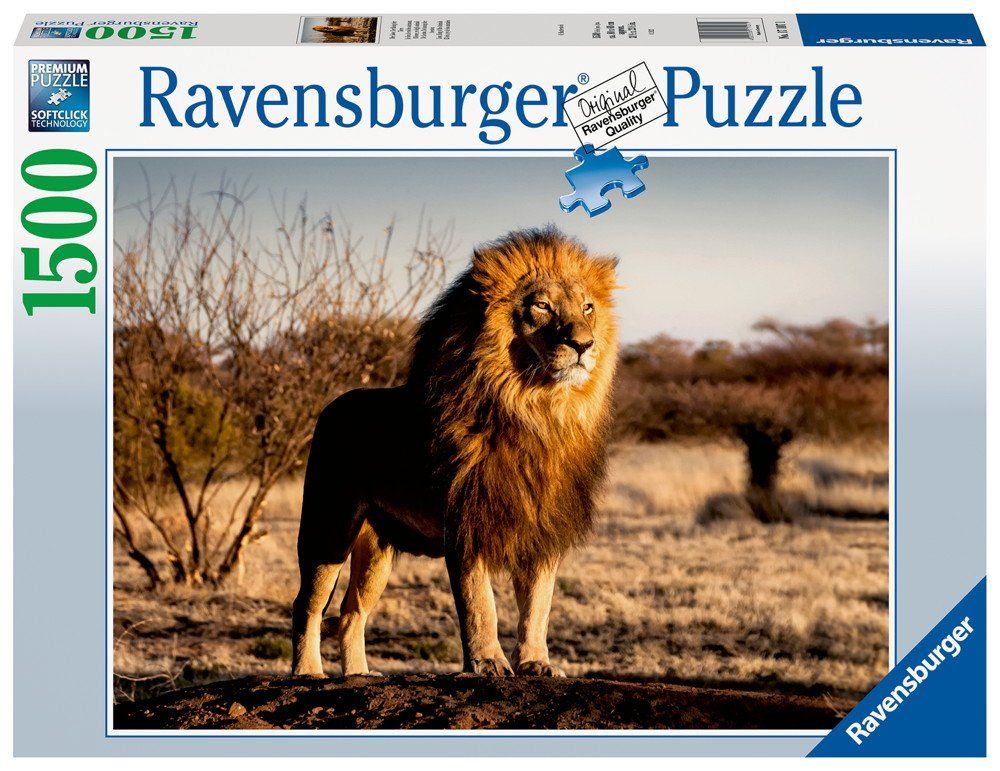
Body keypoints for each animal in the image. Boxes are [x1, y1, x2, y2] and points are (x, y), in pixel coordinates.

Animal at [291, 227, 619, 677]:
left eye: (588, 307)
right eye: (542, 306)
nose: (584, 344)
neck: (536, 411)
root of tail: (332, 405)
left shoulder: (542, 528)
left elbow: (538, 606)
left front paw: (536, 663)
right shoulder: (466, 521)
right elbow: (480, 603)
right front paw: (487, 663)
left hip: (376, 550)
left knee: (351, 611)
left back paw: (358, 673)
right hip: (329, 527)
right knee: (307, 604)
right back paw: (307, 672)